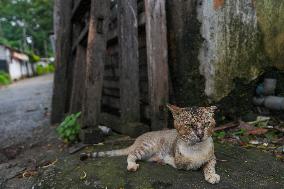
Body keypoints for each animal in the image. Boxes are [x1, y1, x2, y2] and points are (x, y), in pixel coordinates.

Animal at [80, 104, 220, 184]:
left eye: (207, 124)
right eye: (190, 125)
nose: (200, 135)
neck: (197, 148)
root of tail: (138, 139)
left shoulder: (212, 157)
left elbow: (209, 164)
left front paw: (211, 175)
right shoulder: (181, 162)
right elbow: (191, 163)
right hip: (146, 147)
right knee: (131, 155)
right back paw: (132, 165)